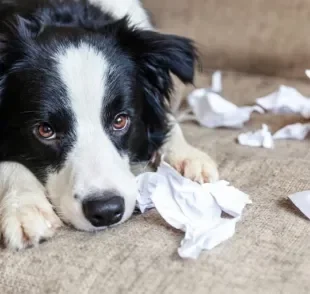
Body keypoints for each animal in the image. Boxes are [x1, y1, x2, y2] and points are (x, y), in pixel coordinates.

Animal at [0, 0, 218, 250]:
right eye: (45, 130)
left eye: (120, 120)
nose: (105, 211)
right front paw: (24, 207)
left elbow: (166, 119)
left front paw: (188, 158)